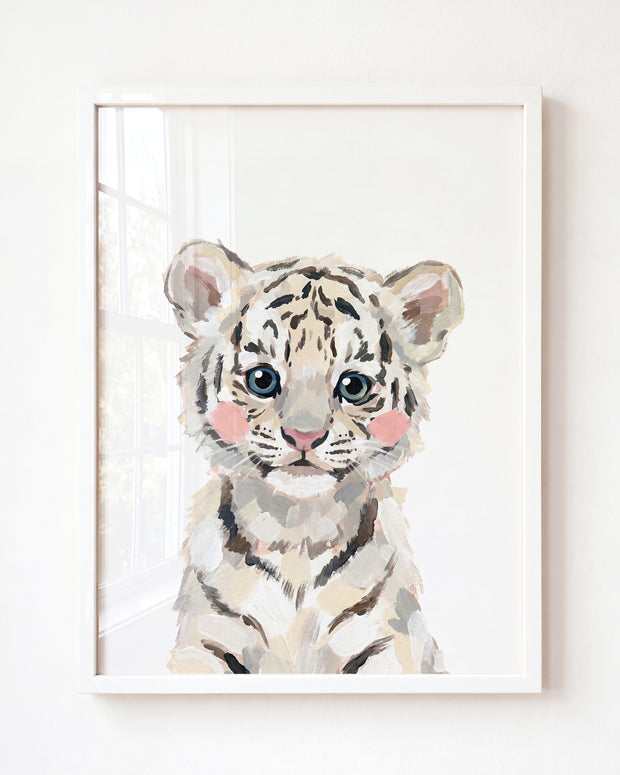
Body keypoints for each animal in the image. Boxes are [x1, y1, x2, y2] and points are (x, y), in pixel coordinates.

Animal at [164, 239, 463, 674]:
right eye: (262, 379)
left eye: (353, 386)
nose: (304, 436)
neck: (296, 533)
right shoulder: (203, 644)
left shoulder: (390, 644)